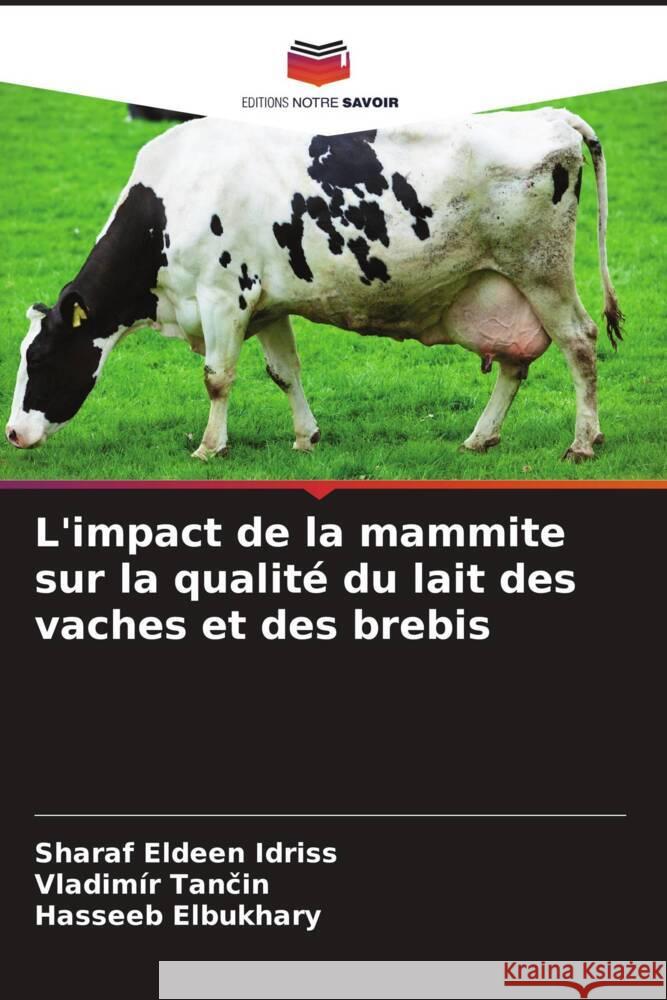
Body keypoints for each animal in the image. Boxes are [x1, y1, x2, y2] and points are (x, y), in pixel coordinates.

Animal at [6, 109, 623, 462]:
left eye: (41, 360)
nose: (12, 434)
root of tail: (551, 114)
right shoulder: (266, 304)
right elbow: (284, 372)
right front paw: (306, 437)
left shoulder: (222, 297)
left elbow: (216, 378)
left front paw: (209, 447)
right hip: (502, 287)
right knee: (516, 361)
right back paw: (480, 437)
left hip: (541, 271)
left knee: (579, 343)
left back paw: (583, 442)